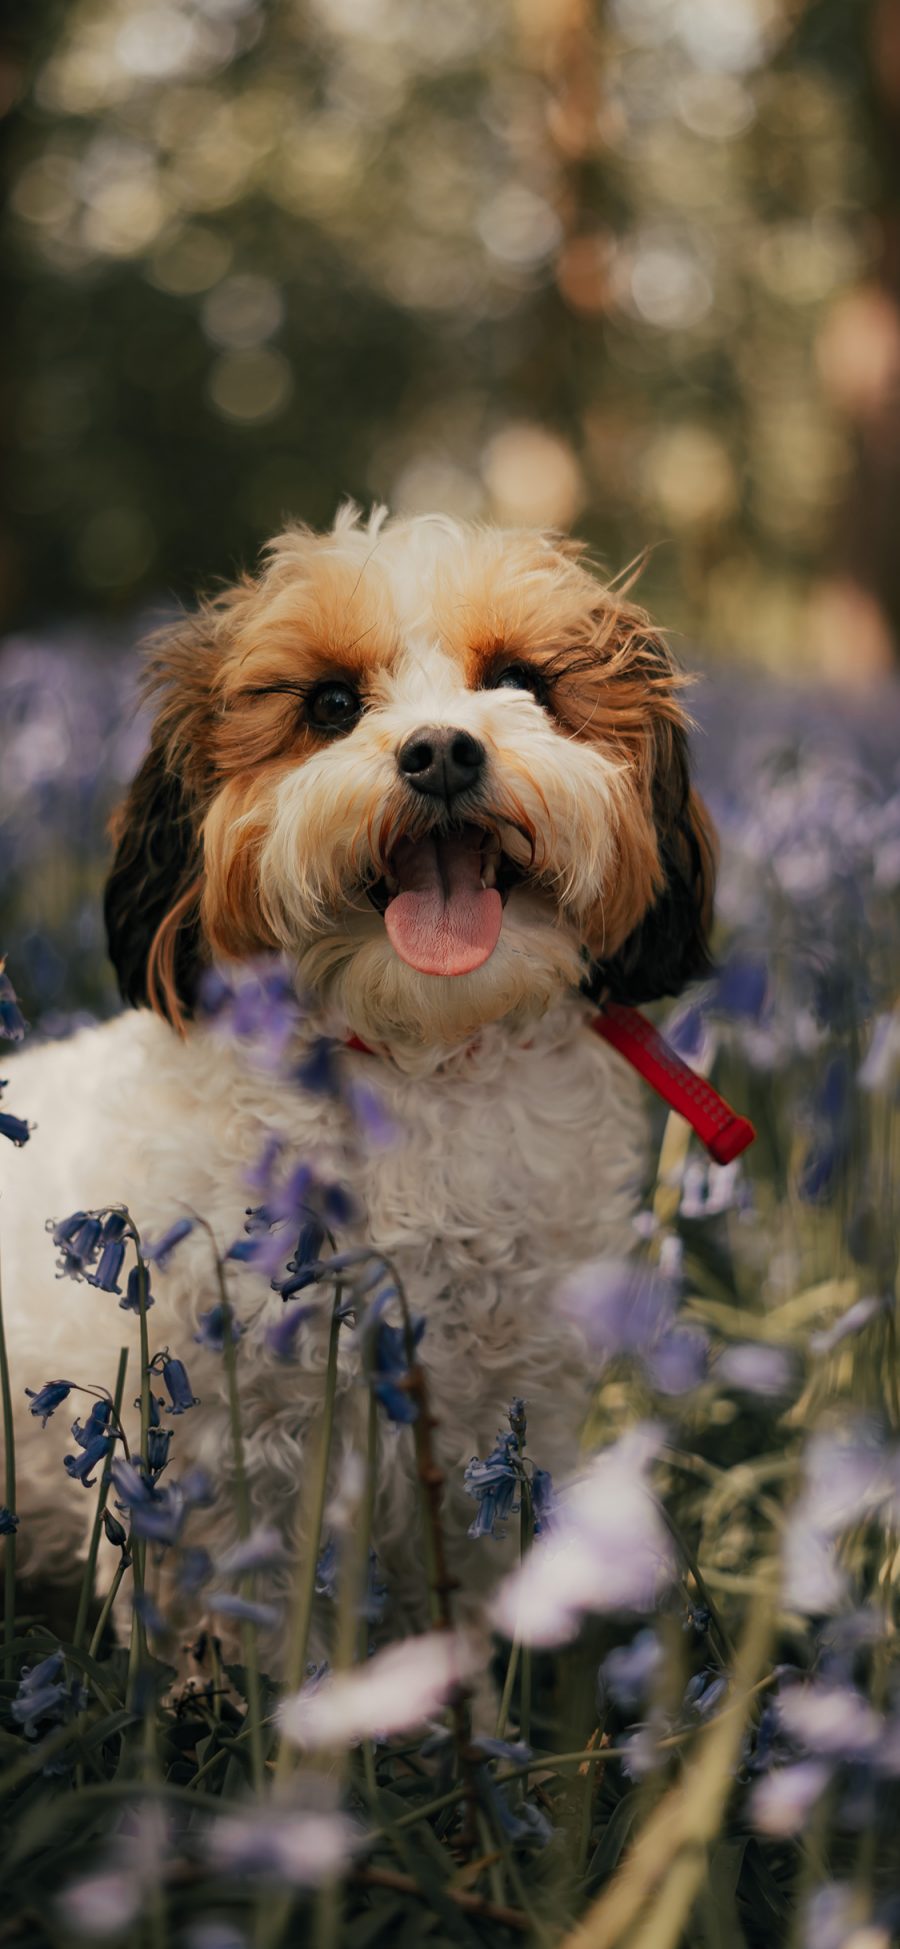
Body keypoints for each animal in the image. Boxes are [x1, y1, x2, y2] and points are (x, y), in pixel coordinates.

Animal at [3, 510, 712, 1683]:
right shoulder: (215, 1440)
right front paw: (226, 1707)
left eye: (521, 681)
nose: (442, 750)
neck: (414, 1061)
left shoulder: (496, 1422)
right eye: (332, 705)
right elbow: (225, 1604)